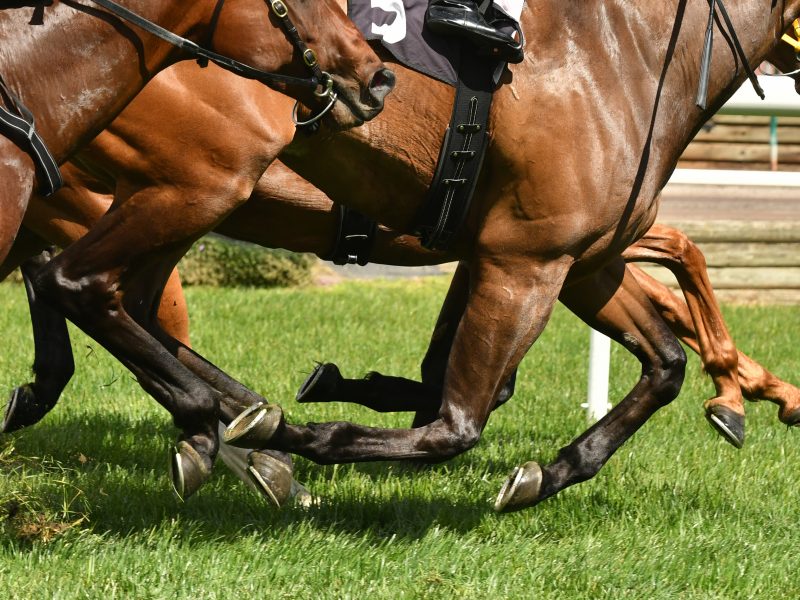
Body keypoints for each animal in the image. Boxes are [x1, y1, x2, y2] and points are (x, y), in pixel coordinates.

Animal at [18, 1, 800, 510]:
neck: (623, 53)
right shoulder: (524, 259)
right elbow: (453, 423)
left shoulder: (579, 259)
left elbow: (664, 362)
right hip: (197, 181)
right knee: (89, 288)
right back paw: (238, 430)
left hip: (171, 195)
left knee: (127, 305)